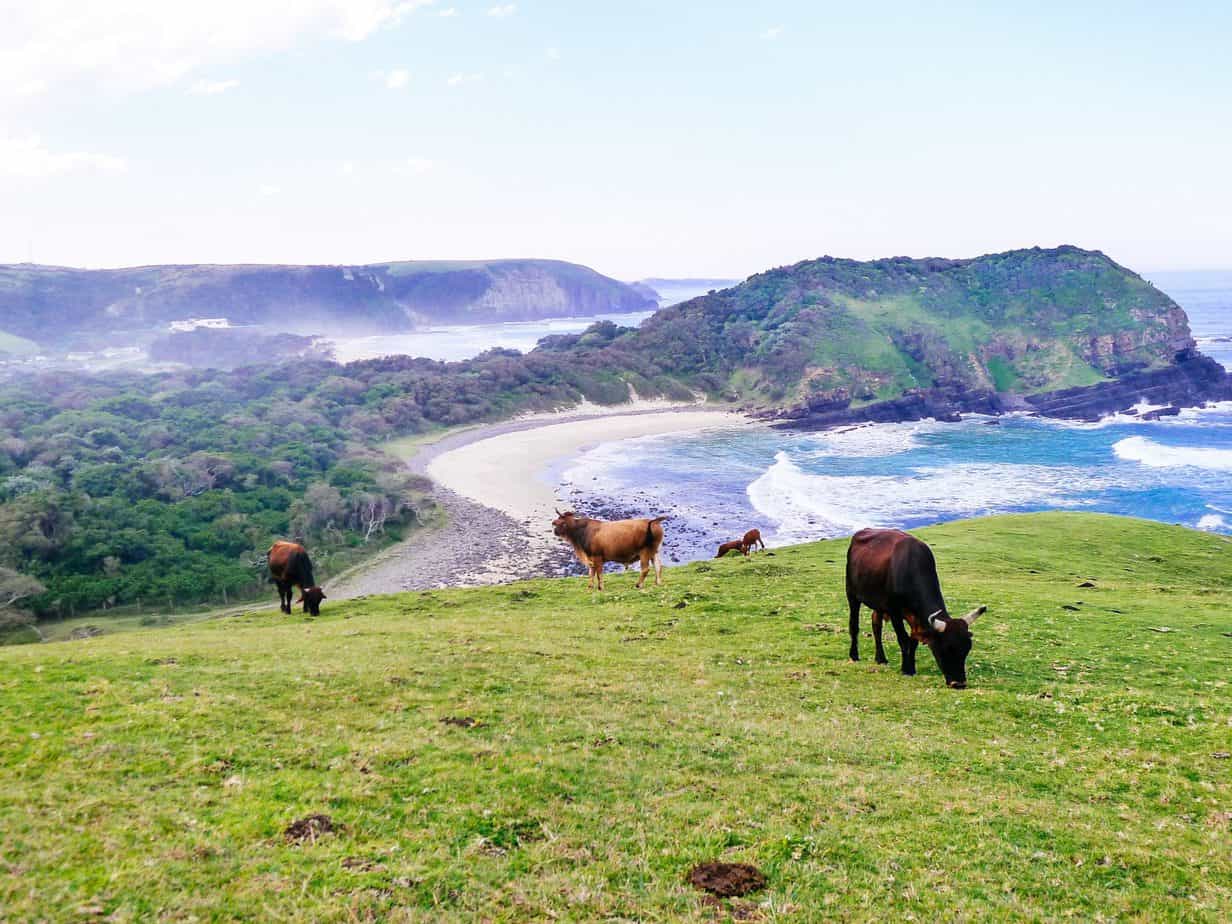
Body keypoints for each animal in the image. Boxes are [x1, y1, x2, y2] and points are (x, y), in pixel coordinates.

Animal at [842, 527, 985, 689]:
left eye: (967, 649)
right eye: (946, 648)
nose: (959, 683)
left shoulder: (916, 619)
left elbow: (913, 642)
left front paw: (912, 667)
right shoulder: (895, 612)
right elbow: (904, 640)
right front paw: (906, 669)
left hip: (878, 604)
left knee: (876, 626)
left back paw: (881, 658)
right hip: (852, 594)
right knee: (854, 625)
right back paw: (854, 655)